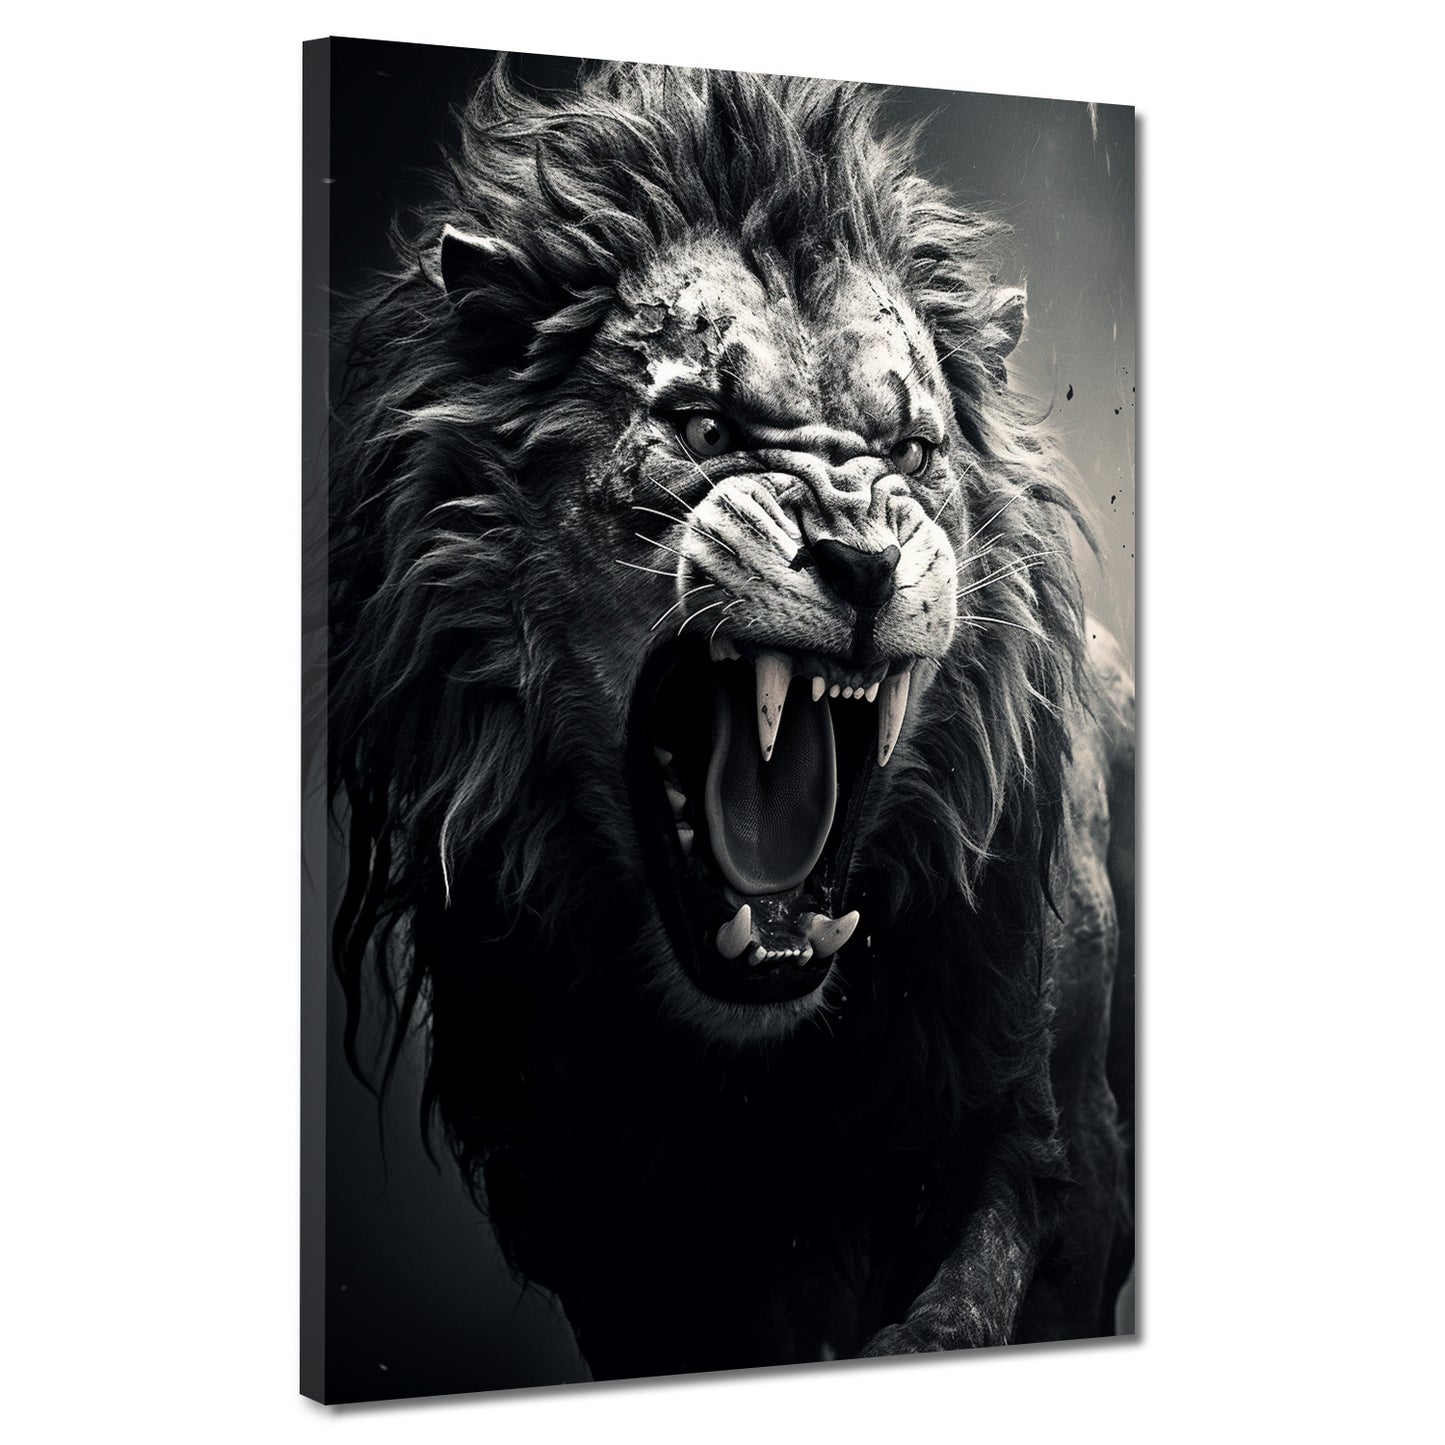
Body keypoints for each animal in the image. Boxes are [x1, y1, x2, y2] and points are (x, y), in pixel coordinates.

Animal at [325, 60, 1135, 1381]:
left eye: (912, 448)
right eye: (705, 427)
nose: (862, 559)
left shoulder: (1056, 1130)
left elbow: (988, 1268)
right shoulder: (615, 1240)